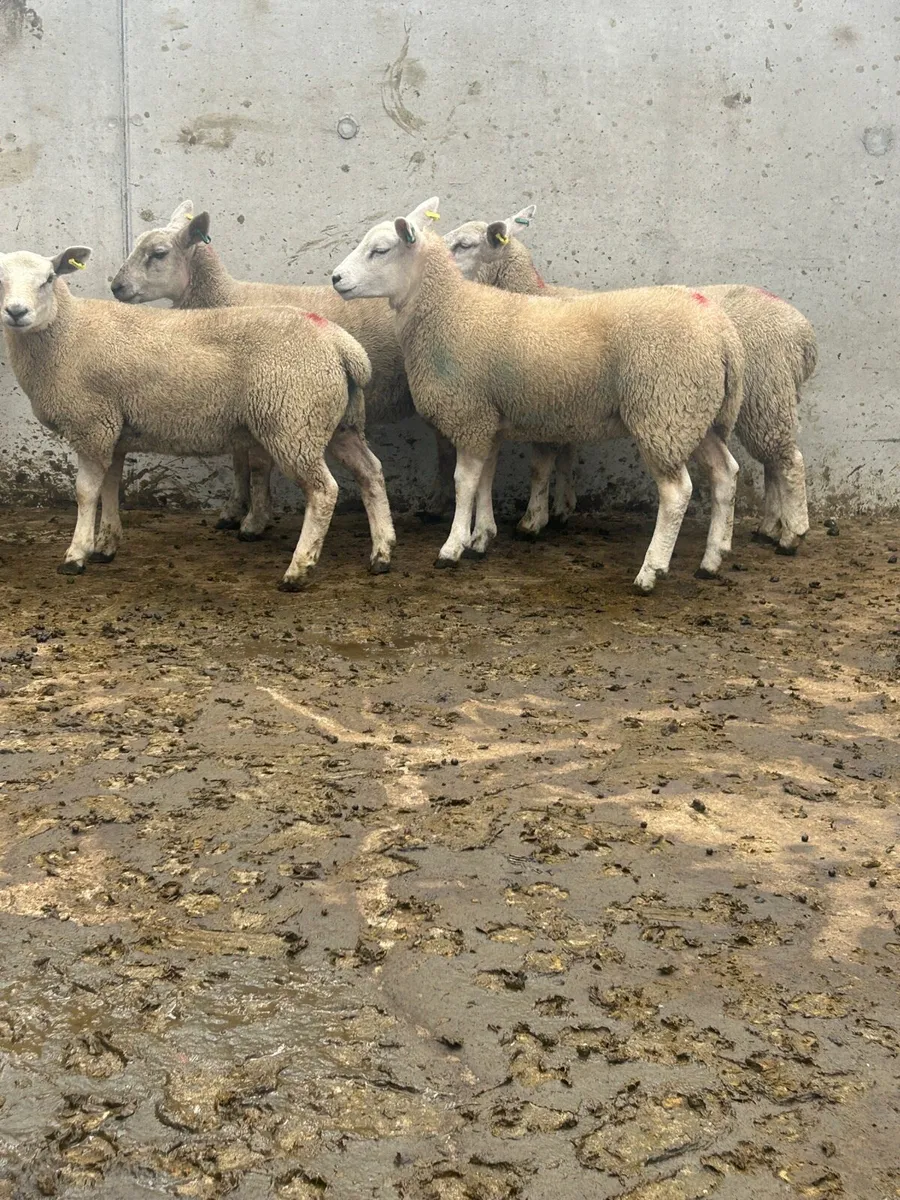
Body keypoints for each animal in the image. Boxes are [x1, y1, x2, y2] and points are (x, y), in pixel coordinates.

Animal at [0, 246, 396, 589]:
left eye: (49, 278)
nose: (16, 312)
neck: (66, 332)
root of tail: (340, 343)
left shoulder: (91, 424)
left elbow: (85, 492)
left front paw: (76, 554)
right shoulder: (113, 430)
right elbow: (110, 487)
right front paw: (106, 544)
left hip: (292, 421)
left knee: (324, 491)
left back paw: (299, 570)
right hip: (337, 422)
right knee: (371, 472)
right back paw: (382, 552)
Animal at [110, 201, 456, 535]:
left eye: (158, 253)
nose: (116, 287)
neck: (226, 298)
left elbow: (258, 467)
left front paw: (254, 521)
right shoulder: (238, 406)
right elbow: (239, 463)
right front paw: (233, 511)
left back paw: (437, 507)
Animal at [331, 198, 745, 593]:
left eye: (380, 250)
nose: (336, 278)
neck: (449, 309)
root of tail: (722, 332)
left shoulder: (470, 414)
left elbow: (465, 482)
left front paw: (453, 547)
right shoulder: (490, 419)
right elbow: (486, 478)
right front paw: (481, 537)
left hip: (663, 410)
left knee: (676, 493)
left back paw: (651, 571)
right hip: (696, 413)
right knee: (726, 474)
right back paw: (712, 560)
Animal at [446, 207, 817, 553]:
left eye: (464, 244)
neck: (535, 294)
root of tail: (803, 333)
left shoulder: (546, 400)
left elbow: (541, 465)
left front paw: (533, 520)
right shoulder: (564, 404)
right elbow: (564, 456)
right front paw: (562, 508)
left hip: (762, 395)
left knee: (789, 461)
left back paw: (792, 533)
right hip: (763, 399)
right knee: (772, 462)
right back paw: (769, 526)